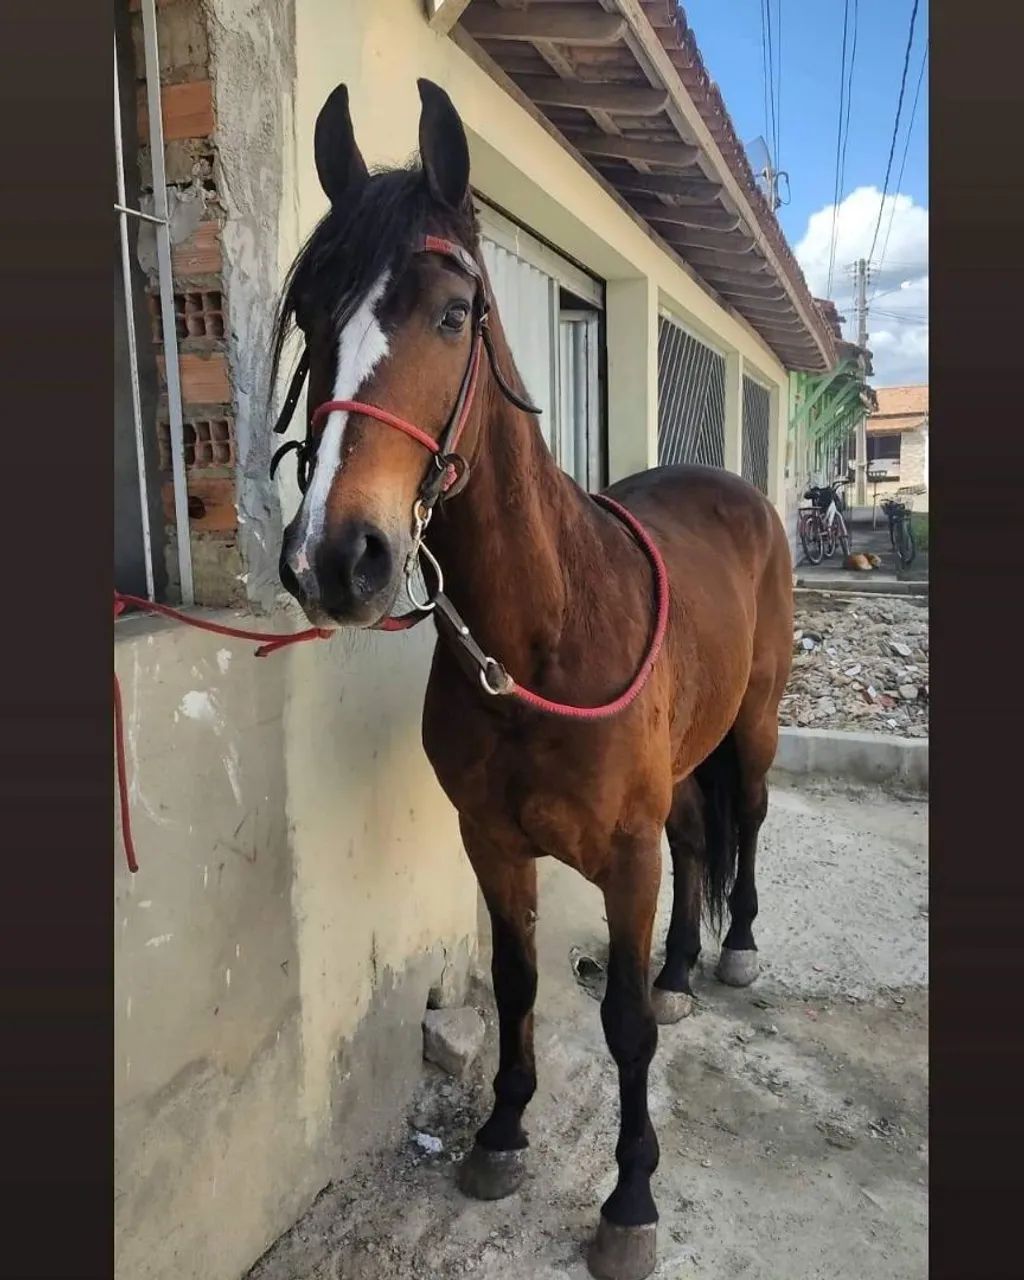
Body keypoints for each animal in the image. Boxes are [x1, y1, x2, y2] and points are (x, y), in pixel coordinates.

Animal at [270, 79, 793, 1280]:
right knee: (700, 837)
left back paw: (733, 950)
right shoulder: (493, 841)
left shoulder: (621, 854)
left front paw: (630, 1196)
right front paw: (501, 1130)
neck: (544, 635)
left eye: (454, 314)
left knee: (742, 818)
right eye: (311, 315)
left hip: (751, 723)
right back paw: (685, 967)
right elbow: (516, 985)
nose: (336, 557)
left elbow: (624, 1024)